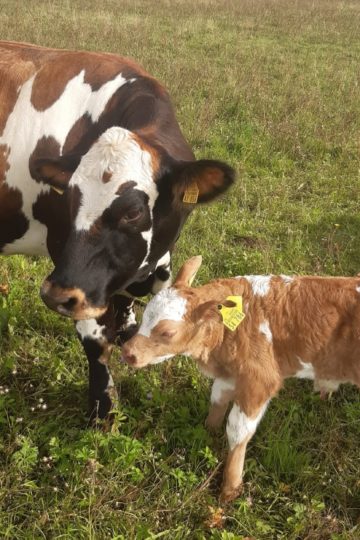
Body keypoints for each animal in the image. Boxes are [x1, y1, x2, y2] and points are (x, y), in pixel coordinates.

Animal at [0, 42, 235, 420]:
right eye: (69, 199)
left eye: (134, 212)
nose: (52, 295)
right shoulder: (73, 272)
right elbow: (96, 341)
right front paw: (103, 408)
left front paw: (127, 330)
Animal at [121, 256, 360, 502]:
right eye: (145, 315)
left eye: (167, 332)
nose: (127, 352)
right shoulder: (229, 373)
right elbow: (217, 401)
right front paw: (208, 431)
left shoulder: (259, 381)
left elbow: (237, 431)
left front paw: (230, 489)